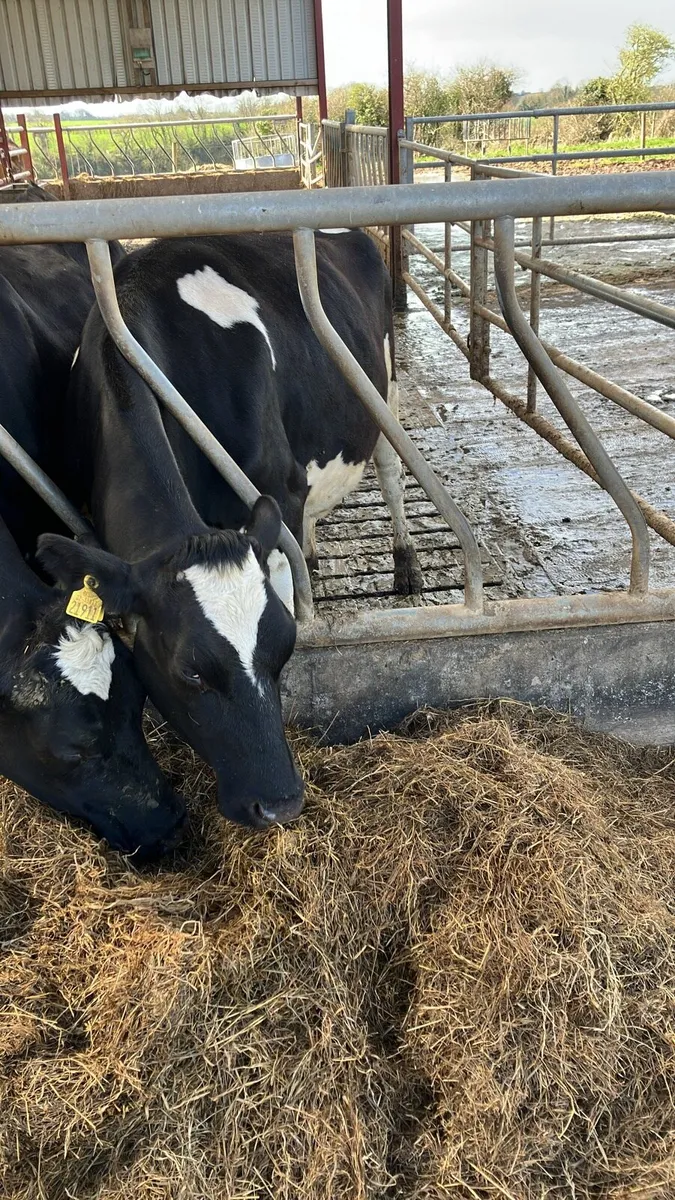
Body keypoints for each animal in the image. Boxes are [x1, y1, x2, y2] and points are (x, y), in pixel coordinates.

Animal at [43, 230, 420, 828]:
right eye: (191, 672)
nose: (281, 802)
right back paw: (314, 557)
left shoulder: (278, 490)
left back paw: (406, 563)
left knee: (390, 471)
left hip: (382, 388)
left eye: (284, 650)